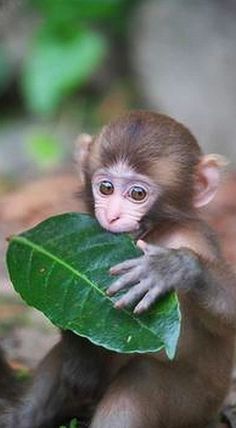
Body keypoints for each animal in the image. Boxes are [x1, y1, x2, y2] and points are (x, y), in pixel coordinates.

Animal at [2, 111, 236, 428]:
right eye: (106, 188)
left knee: (140, 382)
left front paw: (175, 268)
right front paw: (81, 359)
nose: (112, 215)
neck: (155, 232)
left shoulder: (193, 239)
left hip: (194, 406)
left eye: (137, 193)